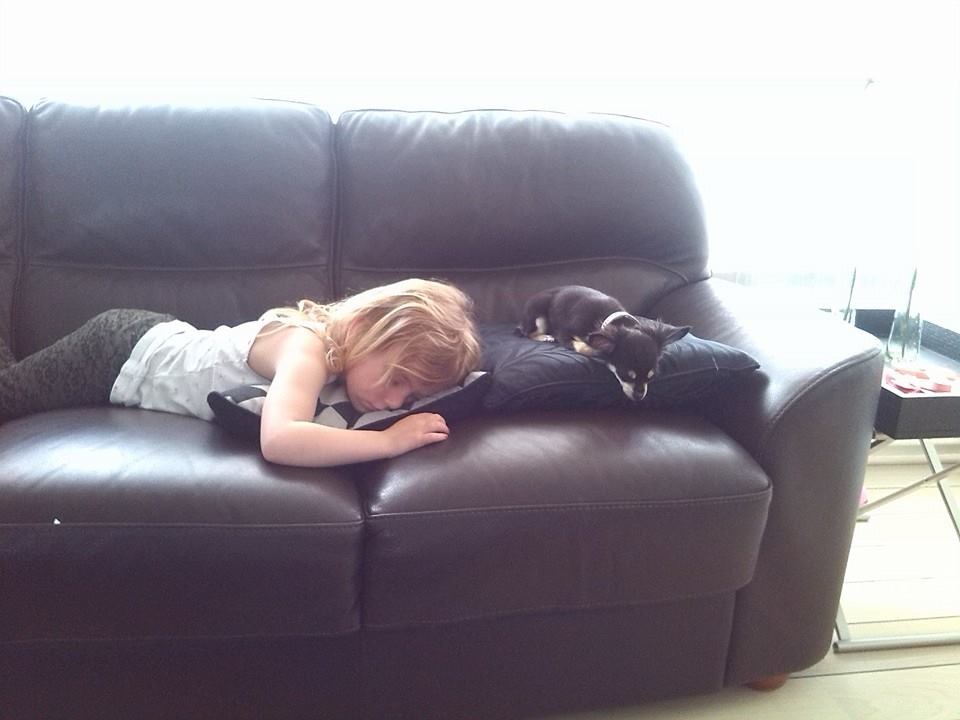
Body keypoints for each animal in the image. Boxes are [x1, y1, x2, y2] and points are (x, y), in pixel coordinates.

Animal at [519, 285, 691, 400]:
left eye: (651, 377)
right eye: (626, 375)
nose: (639, 396)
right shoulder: (565, 334)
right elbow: (584, 346)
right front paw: (597, 350)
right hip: (539, 315)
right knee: (529, 333)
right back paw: (544, 337)